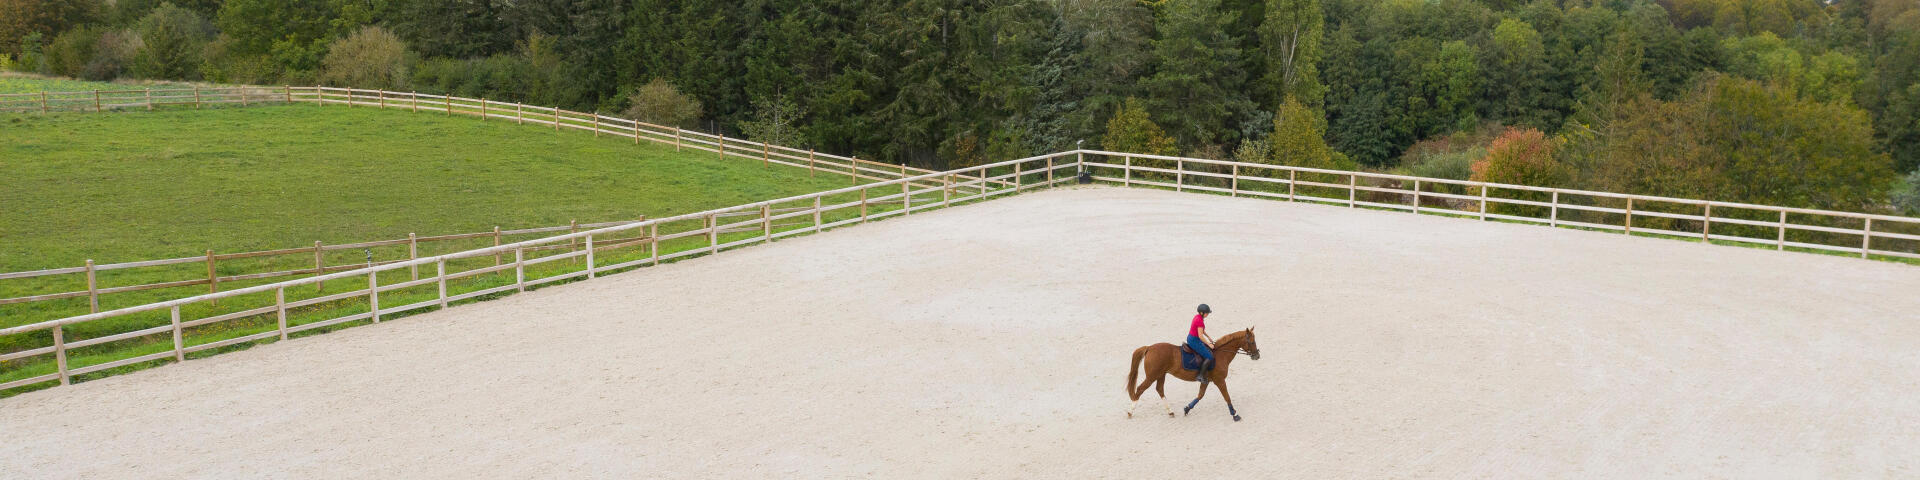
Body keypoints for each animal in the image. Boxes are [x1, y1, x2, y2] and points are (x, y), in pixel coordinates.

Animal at [1121, 328, 1259, 422]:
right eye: (1252, 342)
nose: (1257, 355)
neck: (1221, 354)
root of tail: (1149, 347)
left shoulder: (1206, 381)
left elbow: (1200, 396)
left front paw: (1187, 408)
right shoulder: (1220, 380)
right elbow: (1227, 397)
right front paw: (1235, 415)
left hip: (1161, 375)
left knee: (1159, 389)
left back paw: (1170, 412)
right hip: (1152, 376)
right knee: (1140, 389)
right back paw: (1130, 412)